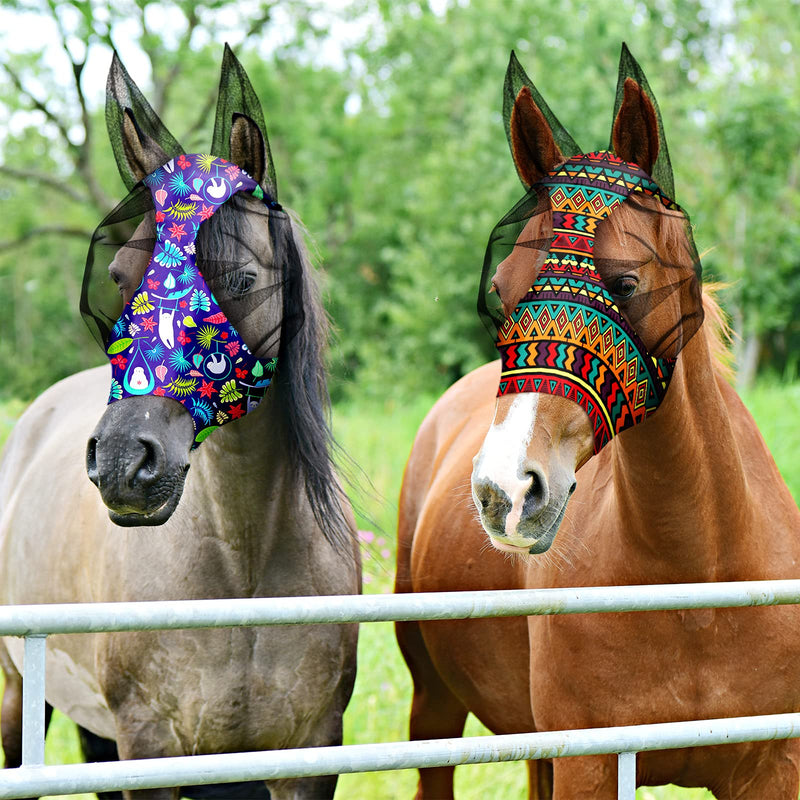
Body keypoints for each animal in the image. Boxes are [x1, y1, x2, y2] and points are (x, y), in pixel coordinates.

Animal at [0, 48, 360, 800]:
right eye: (115, 273)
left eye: (241, 279)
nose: (122, 462)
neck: (243, 569)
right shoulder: (150, 746)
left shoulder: (310, 750)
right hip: (22, 695)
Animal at [396, 52, 800, 799]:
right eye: (499, 288)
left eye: (628, 283)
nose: (503, 491)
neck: (696, 575)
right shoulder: (589, 761)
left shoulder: (773, 764)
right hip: (434, 706)